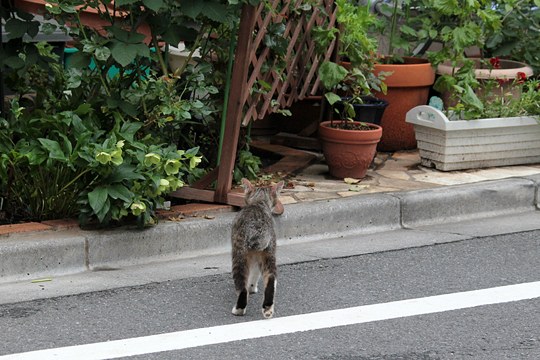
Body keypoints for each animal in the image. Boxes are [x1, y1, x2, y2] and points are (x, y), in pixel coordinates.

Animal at [230, 177, 284, 318]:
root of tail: (258, 230)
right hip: (269, 253)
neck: (259, 203)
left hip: (239, 254)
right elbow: (255, 274)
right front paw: (252, 287)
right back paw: (268, 309)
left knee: (241, 285)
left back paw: (239, 309)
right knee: (271, 280)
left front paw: (250, 289)